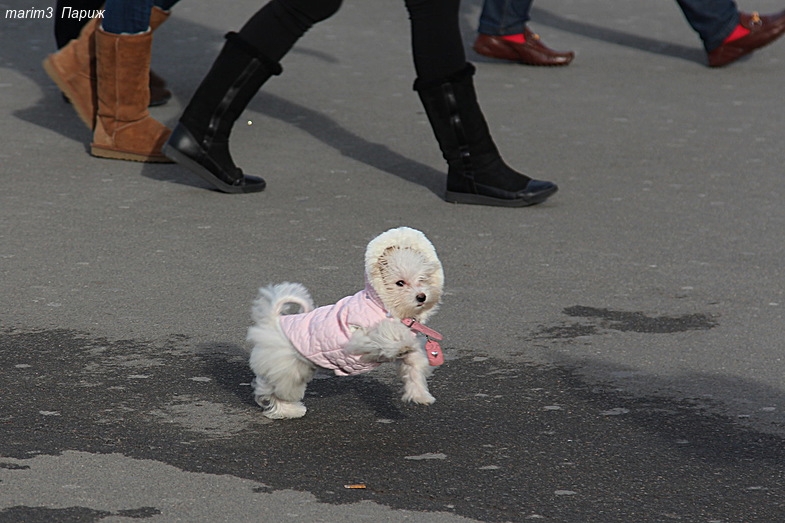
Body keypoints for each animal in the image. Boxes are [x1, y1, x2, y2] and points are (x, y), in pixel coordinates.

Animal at [248, 227, 444, 420]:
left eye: (422, 279)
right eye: (400, 283)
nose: (421, 296)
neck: (381, 305)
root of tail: (275, 320)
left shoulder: (409, 355)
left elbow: (414, 367)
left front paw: (421, 396)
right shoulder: (358, 337)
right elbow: (385, 336)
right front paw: (400, 343)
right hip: (287, 368)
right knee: (273, 389)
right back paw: (288, 411)